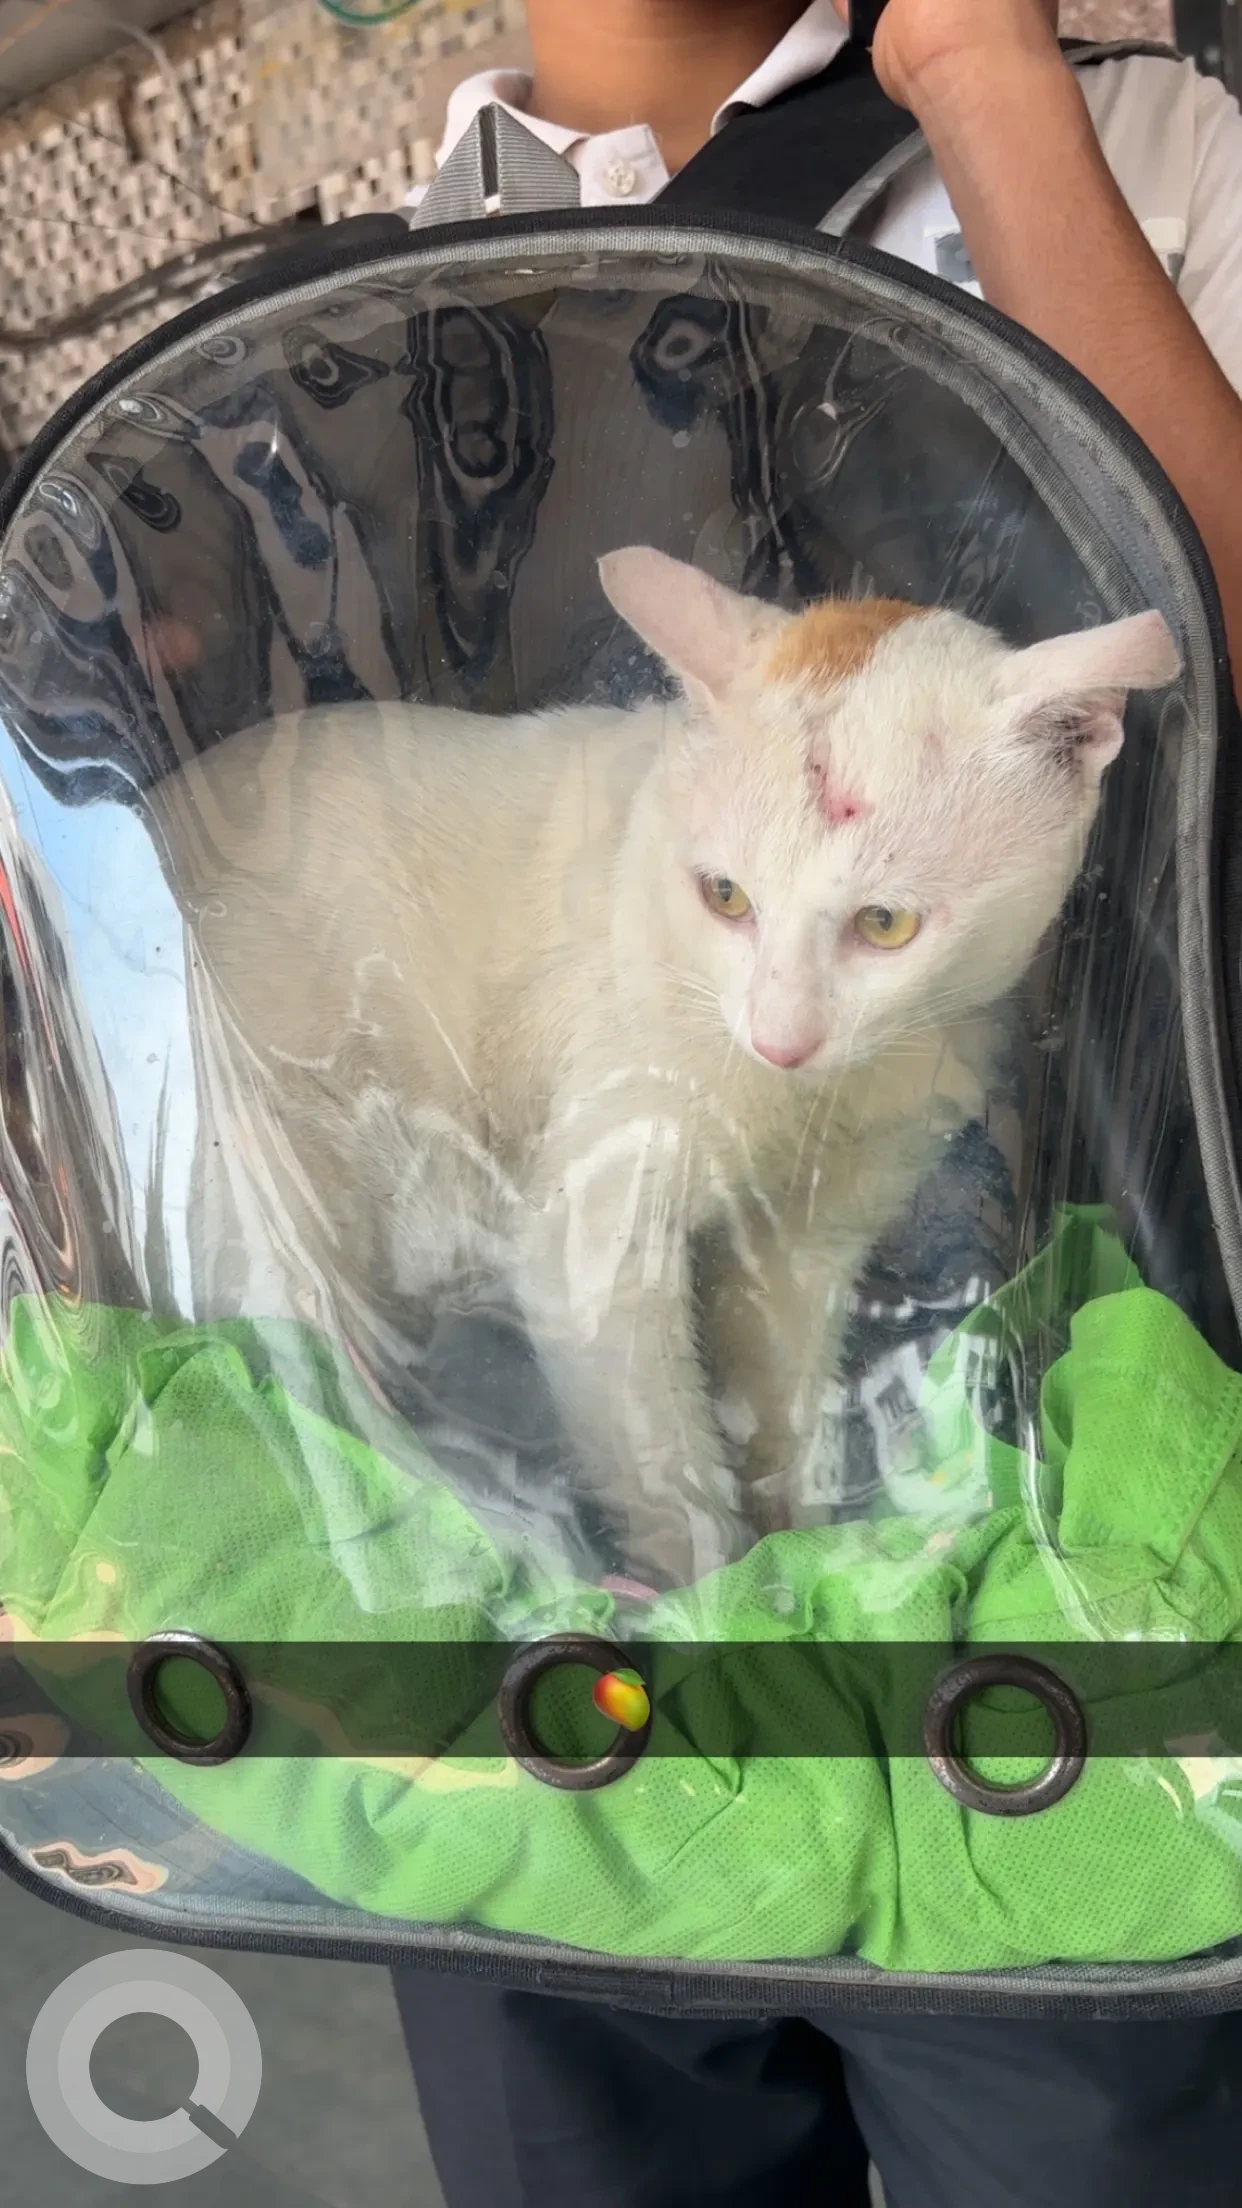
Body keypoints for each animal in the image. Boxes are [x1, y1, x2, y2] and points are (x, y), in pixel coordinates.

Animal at [149, 547, 1178, 1586]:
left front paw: (796, 1543)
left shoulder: (816, 1233)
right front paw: (715, 1588)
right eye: (725, 896)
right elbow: (664, 1458)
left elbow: (780, 1398)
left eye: (886, 924)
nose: (779, 1036)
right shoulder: (592, 1234)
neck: (803, 1099)